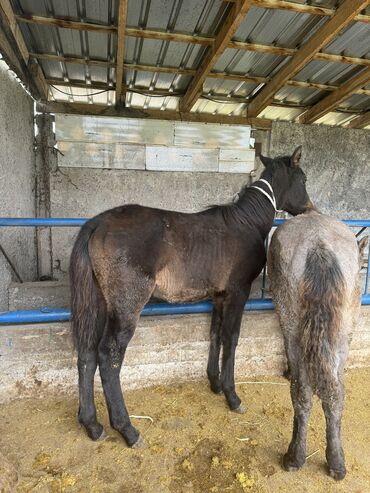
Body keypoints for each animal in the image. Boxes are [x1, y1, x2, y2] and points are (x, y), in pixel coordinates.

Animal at [68, 145, 310, 446]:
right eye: (303, 179)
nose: (309, 208)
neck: (247, 223)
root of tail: (97, 224)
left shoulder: (219, 295)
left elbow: (215, 334)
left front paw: (215, 383)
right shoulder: (238, 292)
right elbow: (231, 339)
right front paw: (232, 396)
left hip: (99, 303)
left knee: (87, 353)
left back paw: (91, 424)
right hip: (125, 308)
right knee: (108, 356)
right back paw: (127, 429)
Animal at [268, 209, 366, 478]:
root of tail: (319, 245)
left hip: (293, 322)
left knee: (304, 389)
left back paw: (295, 457)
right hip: (341, 331)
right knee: (334, 392)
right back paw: (335, 461)